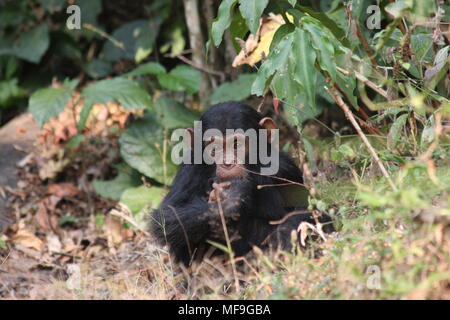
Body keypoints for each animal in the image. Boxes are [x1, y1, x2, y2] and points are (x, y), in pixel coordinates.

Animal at [149, 102, 332, 264]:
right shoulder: (190, 169)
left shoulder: (286, 169)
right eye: (214, 148)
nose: (227, 163)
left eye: (236, 144)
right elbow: (166, 215)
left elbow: (309, 210)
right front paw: (231, 200)